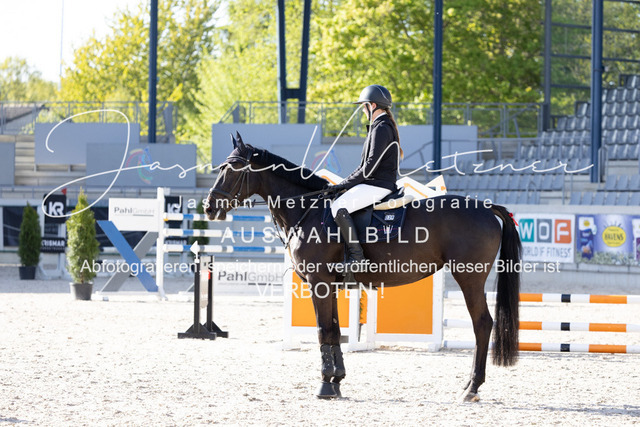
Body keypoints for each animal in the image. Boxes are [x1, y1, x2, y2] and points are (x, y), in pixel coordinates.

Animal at [205, 133, 521, 402]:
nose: (209, 207)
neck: (307, 211)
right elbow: (333, 329)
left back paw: (472, 387)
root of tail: (486, 207)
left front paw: (324, 385)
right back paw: (469, 386)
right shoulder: (329, 285)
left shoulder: (318, 281)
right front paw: (336, 380)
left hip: (469, 278)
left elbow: (323, 330)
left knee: (482, 323)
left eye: (233, 168)